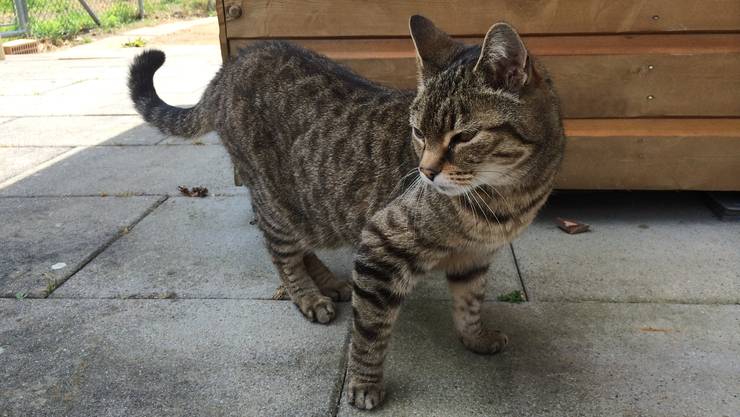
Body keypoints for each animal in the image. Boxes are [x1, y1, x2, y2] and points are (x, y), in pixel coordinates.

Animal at [130, 13, 564, 410]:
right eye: (418, 133)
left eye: (465, 136)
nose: (425, 171)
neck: (510, 196)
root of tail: (233, 63)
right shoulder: (381, 244)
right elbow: (369, 333)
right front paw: (364, 384)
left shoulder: (474, 256)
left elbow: (470, 303)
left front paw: (475, 337)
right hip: (276, 201)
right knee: (281, 252)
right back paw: (309, 295)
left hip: (307, 206)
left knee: (299, 246)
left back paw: (330, 283)